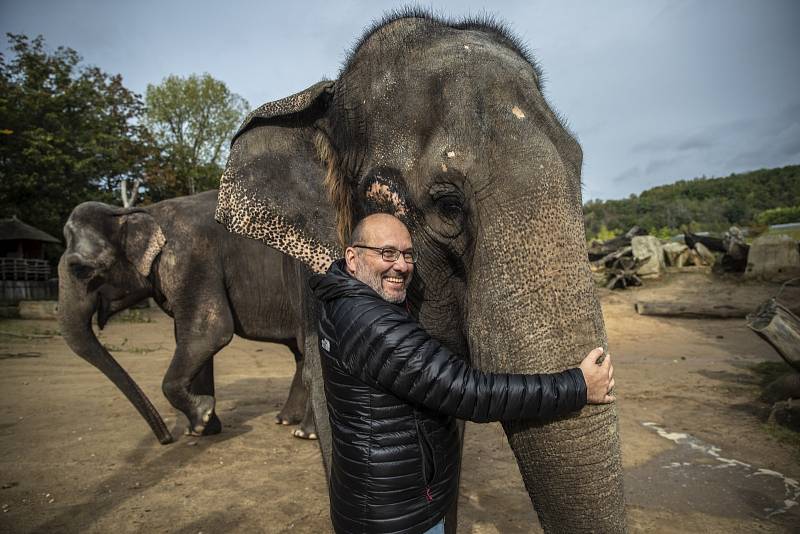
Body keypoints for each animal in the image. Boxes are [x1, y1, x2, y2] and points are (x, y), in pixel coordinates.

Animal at [57, 191, 316, 446]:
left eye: (80, 269)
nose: (166, 439)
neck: (136, 212)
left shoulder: (190, 260)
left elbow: (210, 332)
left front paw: (202, 415)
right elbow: (190, 339)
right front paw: (201, 429)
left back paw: (304, 433)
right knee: (300, 352)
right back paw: (285, 421)